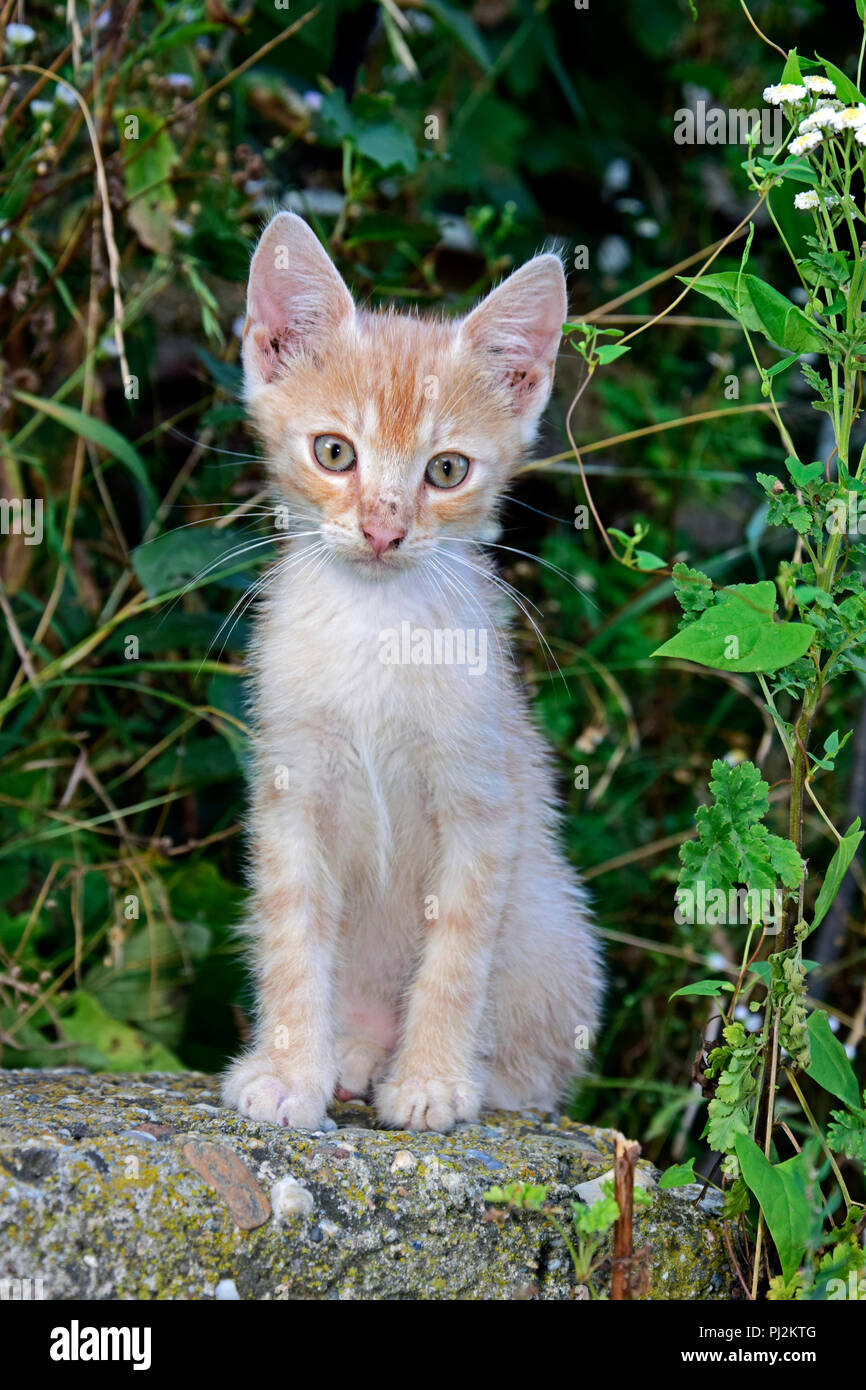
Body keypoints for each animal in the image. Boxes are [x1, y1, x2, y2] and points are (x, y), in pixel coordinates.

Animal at [222, 214, 603, 1128]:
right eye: (335, 452)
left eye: (446, 469)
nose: (383, 531)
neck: (378, 629)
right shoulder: (291, 791)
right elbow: (291, 933)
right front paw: (289, 1071)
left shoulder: (485, 801)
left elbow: (458, 953)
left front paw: (431, 1080)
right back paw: (350, 1057)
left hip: (550, 917)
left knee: (544, 1068)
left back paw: (473, 1076)